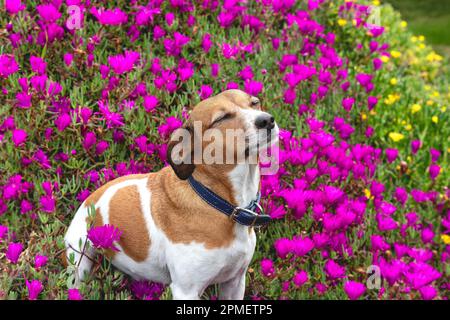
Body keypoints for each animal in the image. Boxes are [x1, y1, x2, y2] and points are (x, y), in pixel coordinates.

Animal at [64, 89, 278, 298]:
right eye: (221, 118)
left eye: (255, 103)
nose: (267, 120)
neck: (219, 203)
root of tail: (89, 200)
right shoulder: (186, 291)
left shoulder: (234, 281)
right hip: (79, 264)